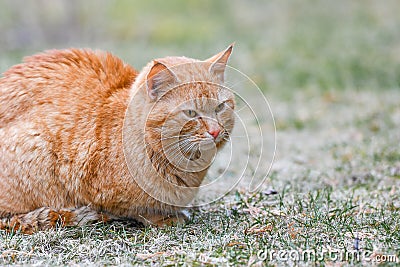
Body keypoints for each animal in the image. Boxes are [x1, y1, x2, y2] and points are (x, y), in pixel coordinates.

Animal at [0, 44, 234, 234]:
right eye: (191, 113)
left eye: (220, 107)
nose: (215, 131)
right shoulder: (95, 189)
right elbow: (135, 209)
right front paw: (164, 217)